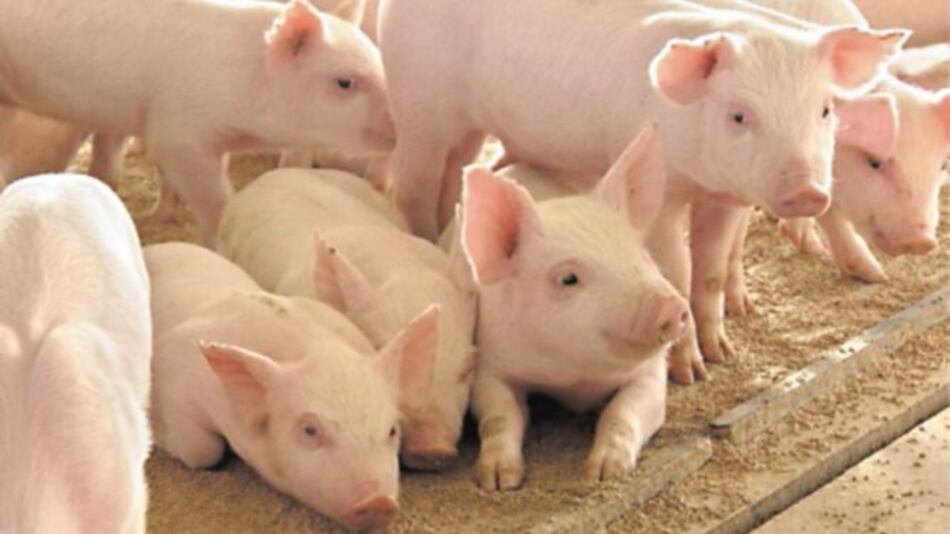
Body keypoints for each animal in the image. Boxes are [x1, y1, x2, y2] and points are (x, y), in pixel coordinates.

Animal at [0, 0, 394, 246]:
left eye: (380, 61)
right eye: (345, 82)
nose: (397, 130)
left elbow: (163, 175)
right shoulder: (179, 133)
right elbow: (214, 198)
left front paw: (157, 215)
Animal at [380, 0, 906, 383]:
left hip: (465, 128)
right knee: (409, 183)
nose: (808, 192)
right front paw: (690, 374)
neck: (699, 174)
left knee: (455, 174)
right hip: (419, 107)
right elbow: (676, 269)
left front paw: (724, 355)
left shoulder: (725, 197)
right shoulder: (665, 194)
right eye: (738, 115)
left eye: (825, 109)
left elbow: (710, 272)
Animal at [458, 125, 689, 490]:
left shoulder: (652, 374)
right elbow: (500, 415)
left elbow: (624, 412)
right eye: (568, 278)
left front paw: (604, 474)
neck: (574, 378)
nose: (671, 304)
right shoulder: (489, 364)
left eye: (644, 255)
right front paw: (498, 481)